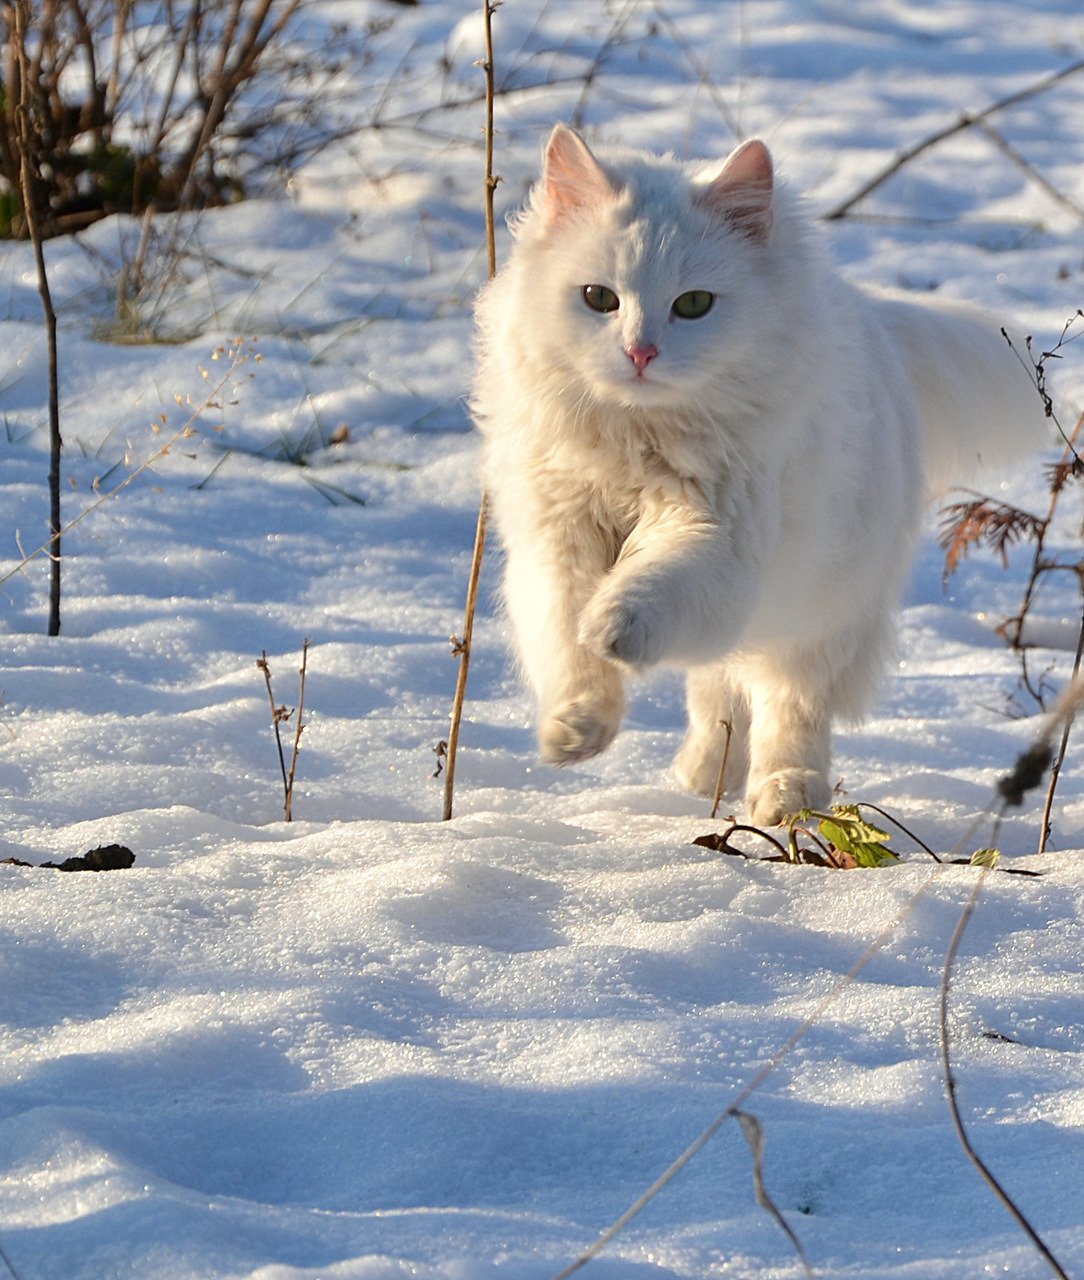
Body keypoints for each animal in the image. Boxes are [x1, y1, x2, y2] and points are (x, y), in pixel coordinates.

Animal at [470, 124, 1049, 824]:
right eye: (598, 299)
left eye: (693, 305)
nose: (640, 353)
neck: (639, 440)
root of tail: (871, 317)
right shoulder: (556, 542)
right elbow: (566, 648)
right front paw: (575, 731)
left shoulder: (715, 537)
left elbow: (646, 590)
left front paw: (612, 625)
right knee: (718, 696)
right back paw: (703, 776)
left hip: (815, 624)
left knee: (788, 712)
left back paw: (783, 798)